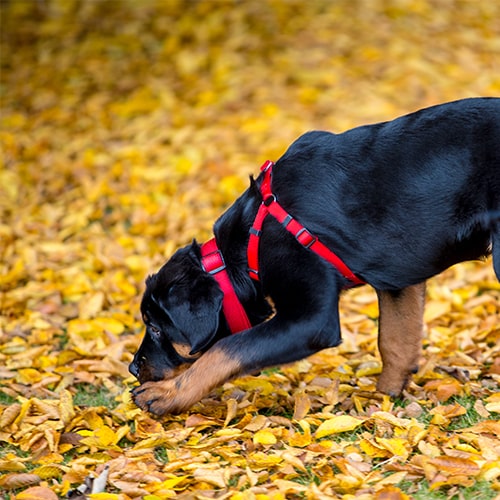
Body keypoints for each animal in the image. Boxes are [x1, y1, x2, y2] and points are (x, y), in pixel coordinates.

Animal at [130, 96, 500, 414]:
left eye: (157, 328)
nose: (133, 368)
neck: (243, 250)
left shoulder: (311, 318)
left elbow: (228, 348)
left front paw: (168, 395)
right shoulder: (398, 279)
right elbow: (395, 341)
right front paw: (382, 406)